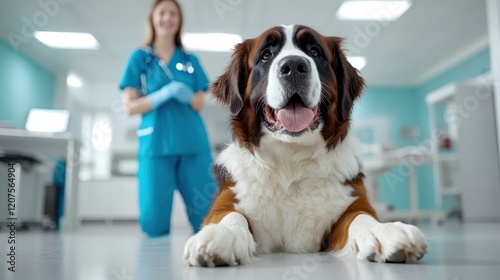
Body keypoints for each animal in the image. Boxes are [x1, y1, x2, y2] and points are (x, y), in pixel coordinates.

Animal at [184, 24, 426, 266]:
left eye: (315, 52)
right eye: (266, 55)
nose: (292, 66)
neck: (290, 160)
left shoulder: (353, 203)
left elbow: (360, 217)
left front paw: (384, 231)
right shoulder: (225, 202)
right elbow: (232, 215)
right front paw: (222, 234)